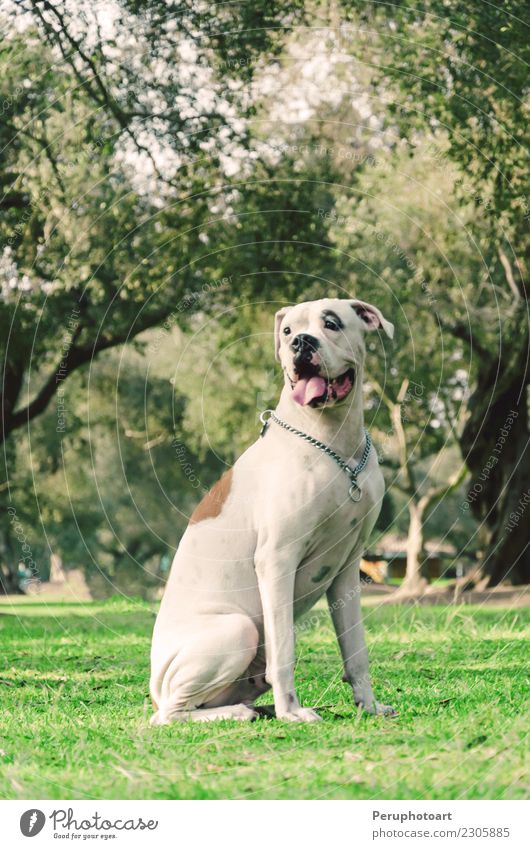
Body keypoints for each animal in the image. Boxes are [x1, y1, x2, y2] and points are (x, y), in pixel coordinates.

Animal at [151, 296, 394, 724]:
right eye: (286, 330)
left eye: (332, 323)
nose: (301, 342)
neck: (332, 444)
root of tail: (152, 687)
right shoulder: (277, 560)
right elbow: (285, 653)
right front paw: (291, 712)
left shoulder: (348, 569)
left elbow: (356, 651)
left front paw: (369, 705)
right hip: (237, 630)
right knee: (169, 713)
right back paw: (238, 713)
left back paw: (254, 706)